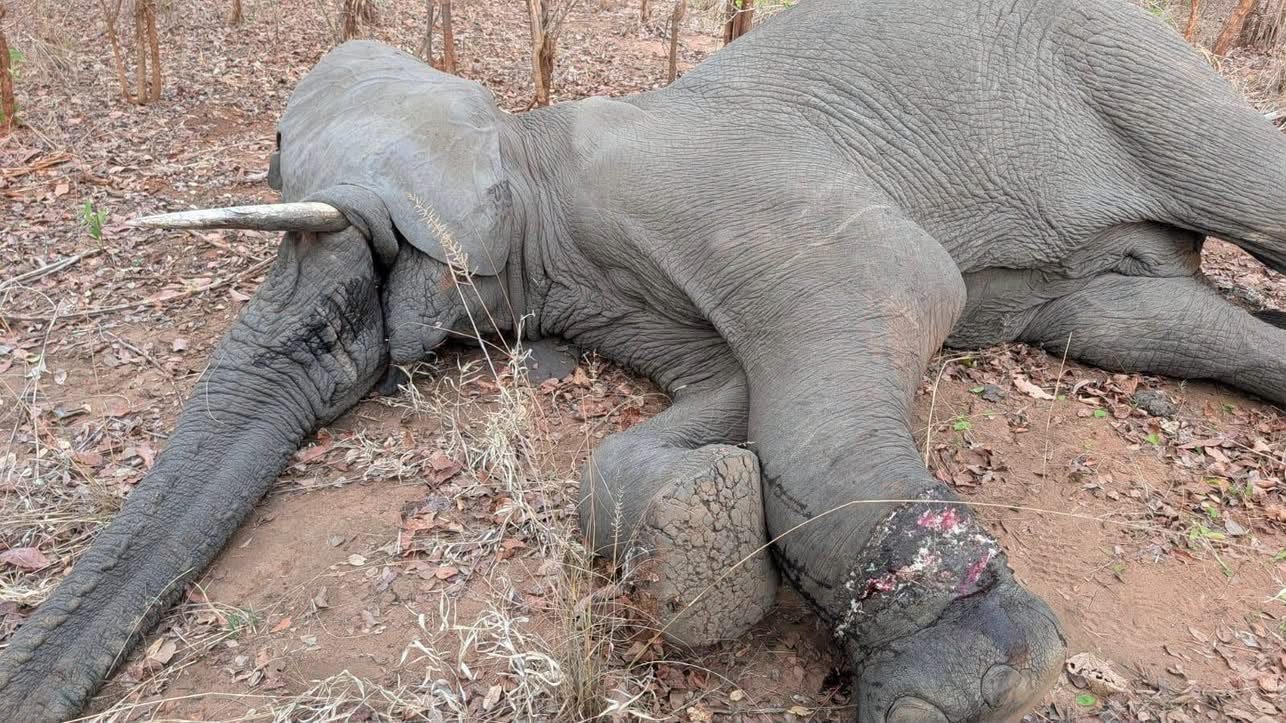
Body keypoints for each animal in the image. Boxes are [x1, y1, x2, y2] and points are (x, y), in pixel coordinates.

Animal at [3, 0, 1285, 720]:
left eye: (339, 325)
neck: (519, 147)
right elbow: (724, 396)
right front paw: (699, 542)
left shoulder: (687, 180)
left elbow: (892, 284)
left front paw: (965, 677)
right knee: (1137, 319)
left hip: (1131, 64)